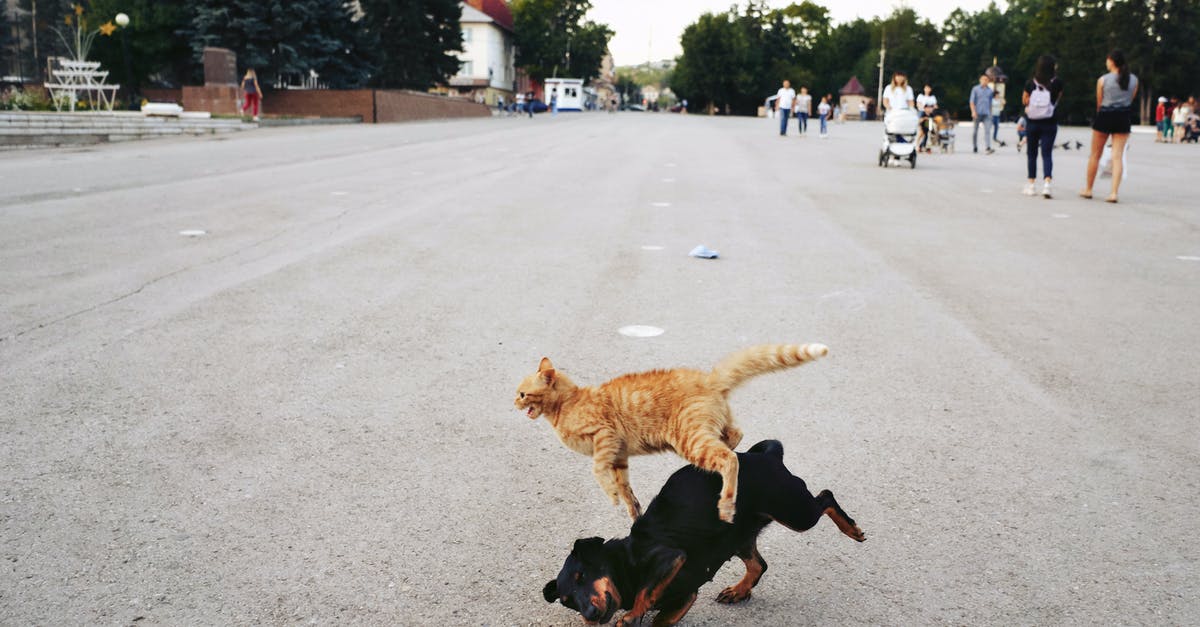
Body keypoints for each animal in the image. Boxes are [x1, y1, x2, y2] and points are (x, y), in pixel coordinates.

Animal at [511, 343, 830, 518]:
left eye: (523, 394)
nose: (513, 401)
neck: (567, 404)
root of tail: (707, 378)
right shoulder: (619, 455)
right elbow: (624, 486)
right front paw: (632, 509)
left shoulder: (605, 437)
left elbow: (598, 472)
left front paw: (612, 496)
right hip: (706, 430)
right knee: (734, 437)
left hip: (688, 439)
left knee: (729, 459)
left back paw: (726, 505)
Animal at [542, 439, 864, 624]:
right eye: (568, 601)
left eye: (582, 576)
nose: (590, 615)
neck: (624, 562)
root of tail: (763, 455)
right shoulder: (685, 597)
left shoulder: (670, 558)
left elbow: (646, 591)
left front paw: (632, 615)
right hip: (738, 536)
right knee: (759, 564)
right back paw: (738, 590)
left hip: (795, 511)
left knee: (825, 497)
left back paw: (852, 529)